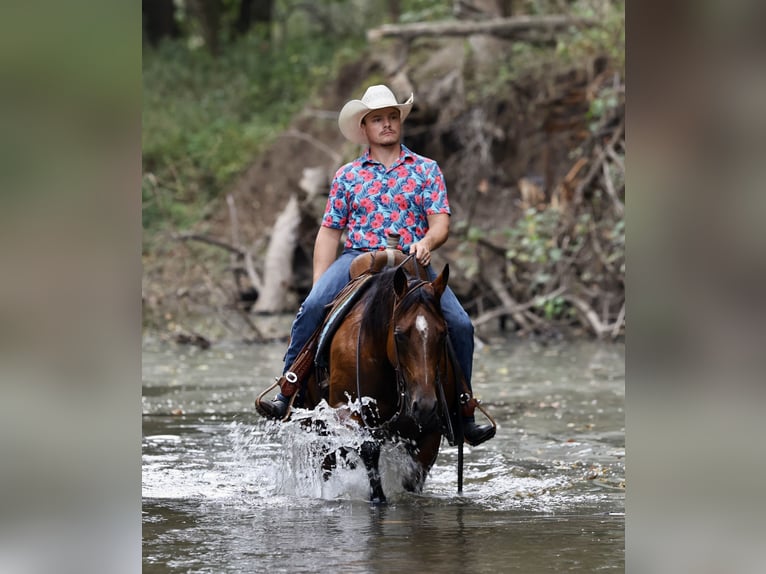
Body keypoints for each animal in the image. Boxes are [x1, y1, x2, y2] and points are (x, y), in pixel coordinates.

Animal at [303, 261, 459, 504]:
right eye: (400, 334)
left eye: (443, 333)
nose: (424, 405)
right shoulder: (346, 414)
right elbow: (369, 453)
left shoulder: (431, 431)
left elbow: (413, 479)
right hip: (320, 426)